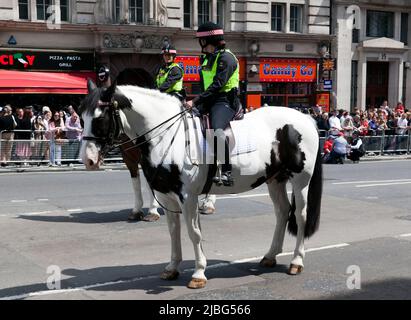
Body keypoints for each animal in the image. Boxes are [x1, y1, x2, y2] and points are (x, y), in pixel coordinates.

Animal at [80, 80, 324, 290]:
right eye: (82, 117)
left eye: (100, 118)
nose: (88, 160)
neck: (167, 136)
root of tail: (306, 119)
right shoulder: (168, 197)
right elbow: (174, 232)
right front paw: (172, 268)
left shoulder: (188, 197)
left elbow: (193, 232)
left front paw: (198, 273)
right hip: (275, 180)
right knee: (282, 212)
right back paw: (271, 256)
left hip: (300, 180)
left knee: (300, 215)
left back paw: (296, 261)